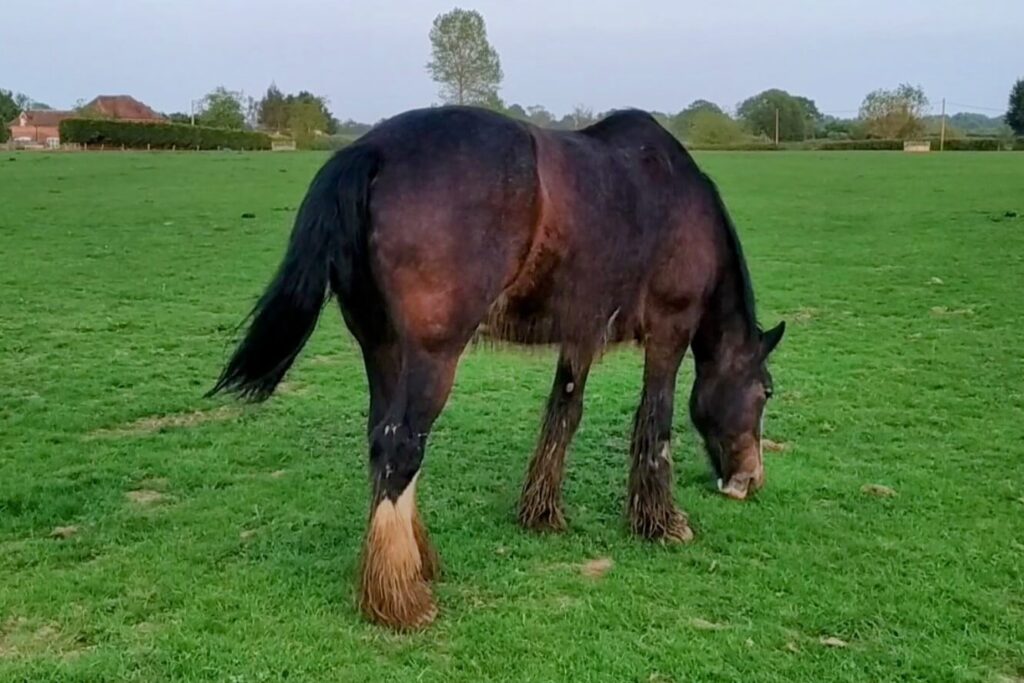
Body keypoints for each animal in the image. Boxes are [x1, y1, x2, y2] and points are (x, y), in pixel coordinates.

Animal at [205, 107, 782, 630]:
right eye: (765, 392)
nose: (750, 479)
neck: (675, 194)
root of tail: (370, 151)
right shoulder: (669, 331)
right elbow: (654, 425)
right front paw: (661, 523)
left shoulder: (581, 333)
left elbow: (563, 414)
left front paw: (542, 511)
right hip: (432, 357)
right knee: (401, 447)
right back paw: (402, 600)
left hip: (383, 349)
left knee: (380, 440)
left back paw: (410, 565)